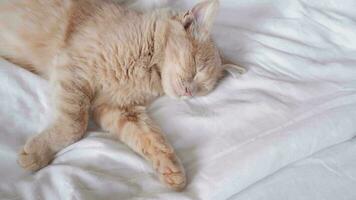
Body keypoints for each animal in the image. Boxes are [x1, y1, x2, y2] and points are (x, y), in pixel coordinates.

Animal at [0, 0, 242, 191]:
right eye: (195, 67)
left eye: (203, 87)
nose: (189, 92)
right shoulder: (74, 68)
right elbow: (74, 126)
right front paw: (37, 153)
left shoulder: (117, 108)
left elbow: (152, 138)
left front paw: (171, 168)